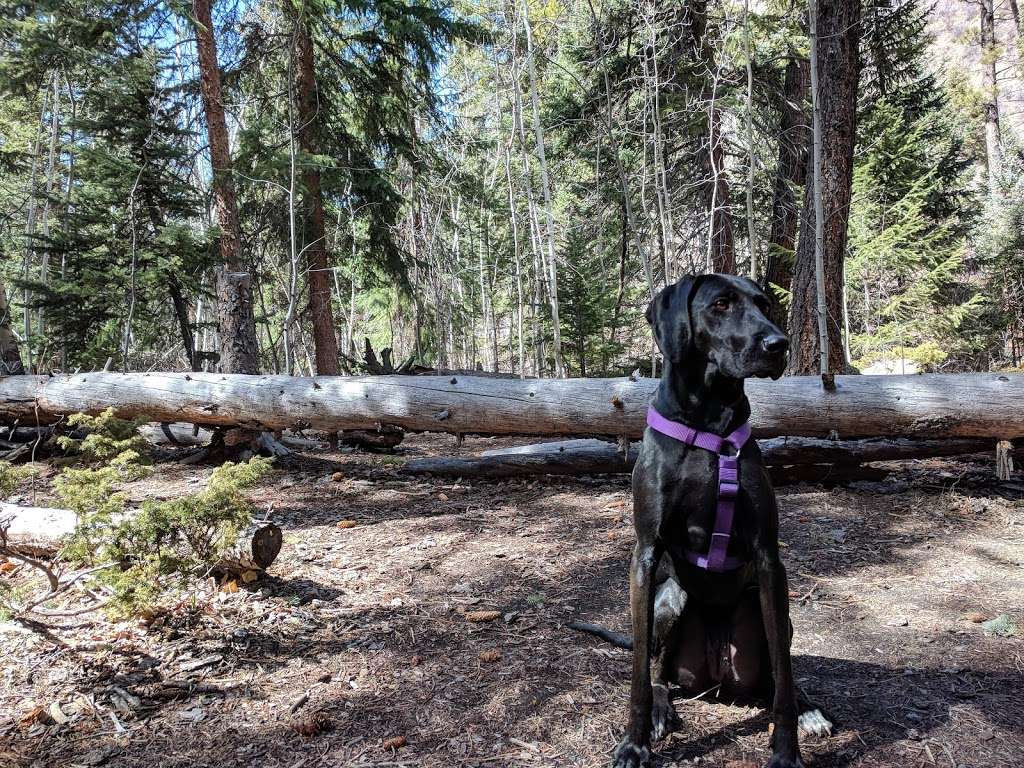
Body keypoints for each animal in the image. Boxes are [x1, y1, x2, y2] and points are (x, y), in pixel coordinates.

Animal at [581, 276, 827, 768]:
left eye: (764, 304)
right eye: (721, 304)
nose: (779, 344)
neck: (709, 422)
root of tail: (716, 679)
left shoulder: (768, 557)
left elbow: (785, 674)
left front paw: (787, 751)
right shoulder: (645, 553)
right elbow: (638, 674)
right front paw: (634, 744)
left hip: (768, 612)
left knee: (779, 672)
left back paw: (807, 707)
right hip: (670, 599)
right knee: (658, 670)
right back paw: (661, 707)